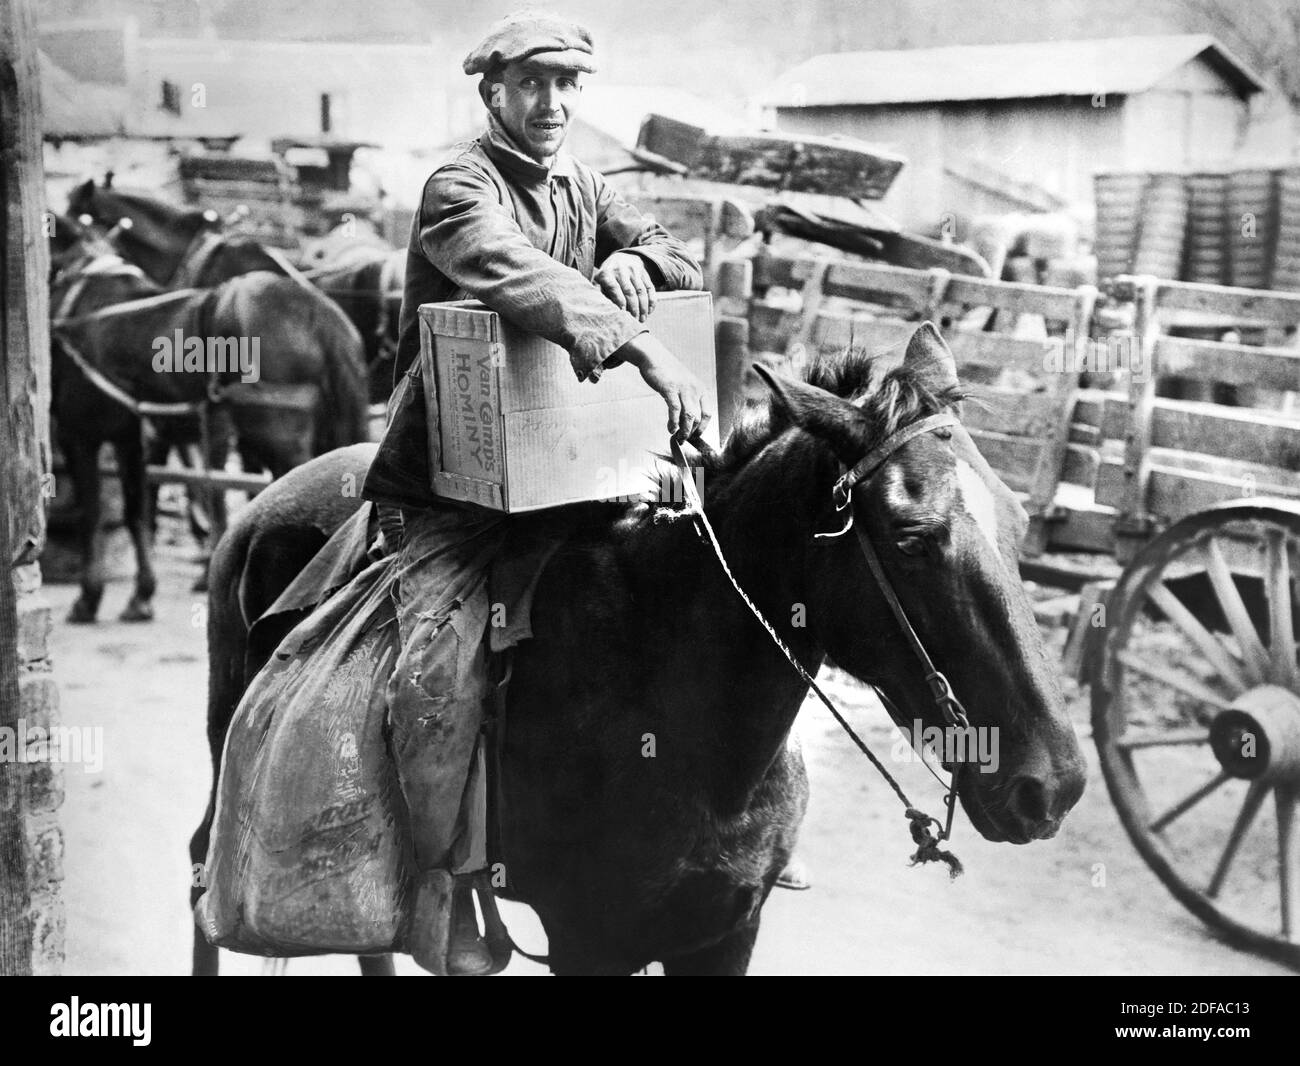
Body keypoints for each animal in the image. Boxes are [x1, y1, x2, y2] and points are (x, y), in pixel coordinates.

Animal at [50, 237, 366, 624]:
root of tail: (318, 316)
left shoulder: (80, 435)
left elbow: (92, 515)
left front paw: (89, 598)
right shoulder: (133, 440)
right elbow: (137, 512)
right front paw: (141, 596)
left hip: (279, 438)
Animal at [189, 325, 1086, 972]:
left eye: (1019, 522)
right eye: (909, 537)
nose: (1055, 784)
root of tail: (260, 506)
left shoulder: (724, 933)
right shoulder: (591, 942)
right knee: (203, 870)